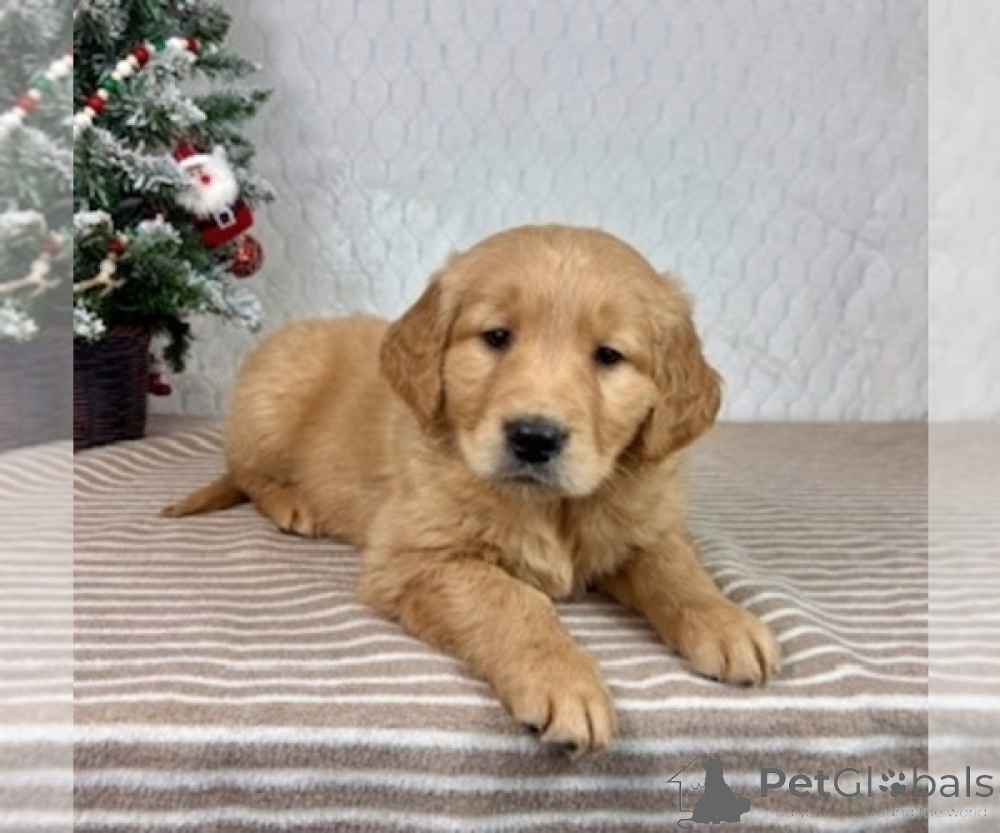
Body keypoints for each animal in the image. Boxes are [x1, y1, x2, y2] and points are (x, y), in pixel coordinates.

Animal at [164, 225, 780, 754]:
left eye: (609, 355)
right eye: (496, 337)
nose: (534, 437)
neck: (550, 507)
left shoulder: (645, 524)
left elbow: (676, 568)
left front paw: (725, 620)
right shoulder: (417, 557)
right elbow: (511, 598)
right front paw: (563, 677)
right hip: (272, 398)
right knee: (244, 471)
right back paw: (291, 502)